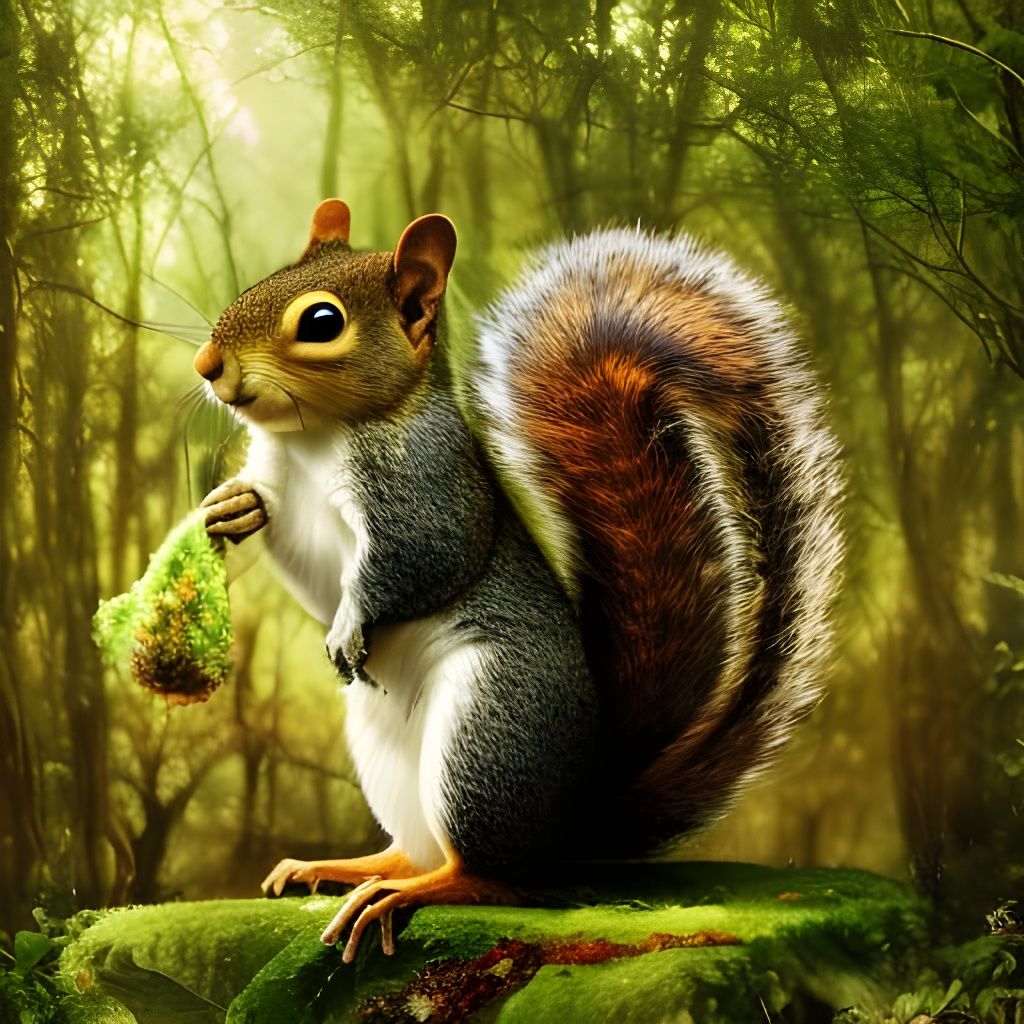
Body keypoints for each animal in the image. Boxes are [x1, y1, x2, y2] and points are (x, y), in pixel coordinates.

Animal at [193, 199, 842, 962]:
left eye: (321, 322)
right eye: (260, 282)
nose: (207, 366)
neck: (313, 439)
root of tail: (575, 821)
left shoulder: (428, 486)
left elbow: (420, 561)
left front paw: (351, 623)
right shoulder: (283, 480)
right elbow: (283, 528)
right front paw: (230, 507)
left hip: (489, 731)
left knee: (492, 876)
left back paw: (408, 892)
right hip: (386, 752)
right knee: (416, 847)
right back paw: (348, 867)